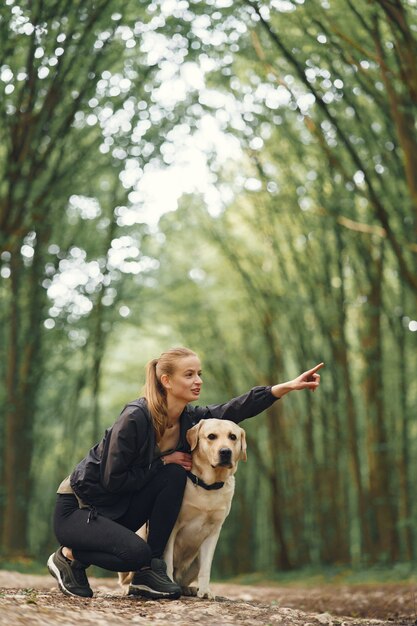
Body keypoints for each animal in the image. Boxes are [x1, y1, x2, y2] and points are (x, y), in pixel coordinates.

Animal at [118, 416, 245, 596]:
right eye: (211, 436)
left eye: (233, 437)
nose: (226, 452)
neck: (207, 485)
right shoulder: (173, 526)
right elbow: (168, 563)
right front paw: (168, 584)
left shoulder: (214, 532)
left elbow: (206, 568)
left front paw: (205, 591)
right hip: (141, 537)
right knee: (127, 577)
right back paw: (128, 587)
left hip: (195, 560)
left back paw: (188, 589)